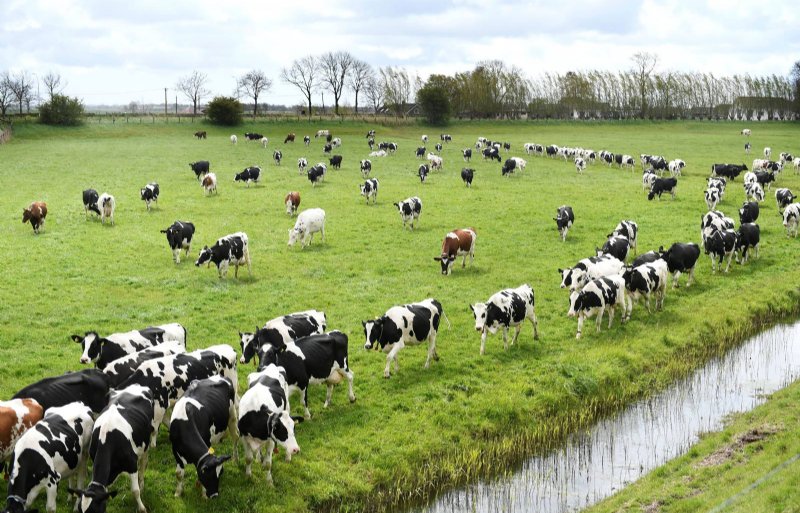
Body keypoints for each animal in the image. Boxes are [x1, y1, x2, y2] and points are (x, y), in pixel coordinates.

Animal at [70, 384, 156, 512]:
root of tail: (136, 385)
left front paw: (142, 508)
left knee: (143, 462)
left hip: (146, 439)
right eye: (80, 510)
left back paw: (141, 483)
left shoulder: (132, 464)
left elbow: (135, 491)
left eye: (95, 511)